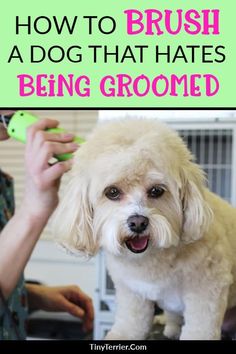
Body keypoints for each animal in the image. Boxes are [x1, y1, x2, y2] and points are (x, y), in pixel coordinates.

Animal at [52, 119, 236, 340]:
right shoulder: (132, 292)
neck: (152, 259)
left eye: (156, 190)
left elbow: (199, 329)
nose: (138, 222)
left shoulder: (206, 291)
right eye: (112, 192)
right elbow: (131, 324)